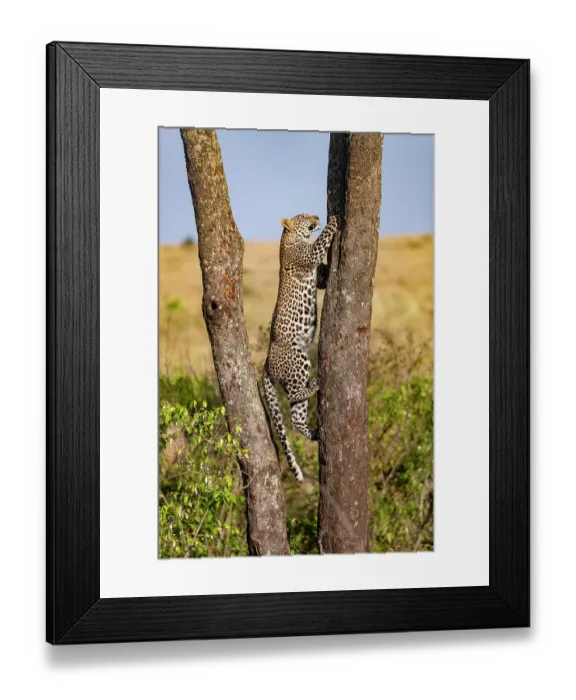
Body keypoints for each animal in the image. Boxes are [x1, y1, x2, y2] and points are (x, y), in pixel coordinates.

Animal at [262, 213, 338, 482]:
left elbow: (323, 275)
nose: (317, 216)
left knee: (295, 418)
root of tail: (265, 363)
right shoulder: (309, 256)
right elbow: (321, 241)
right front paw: (333, 221)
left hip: (294, 377)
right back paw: (315, 384)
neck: (288, 239)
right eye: (304, 217)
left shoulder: (319, 277)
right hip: (299, 360)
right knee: (294, 396)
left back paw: (313, 433)